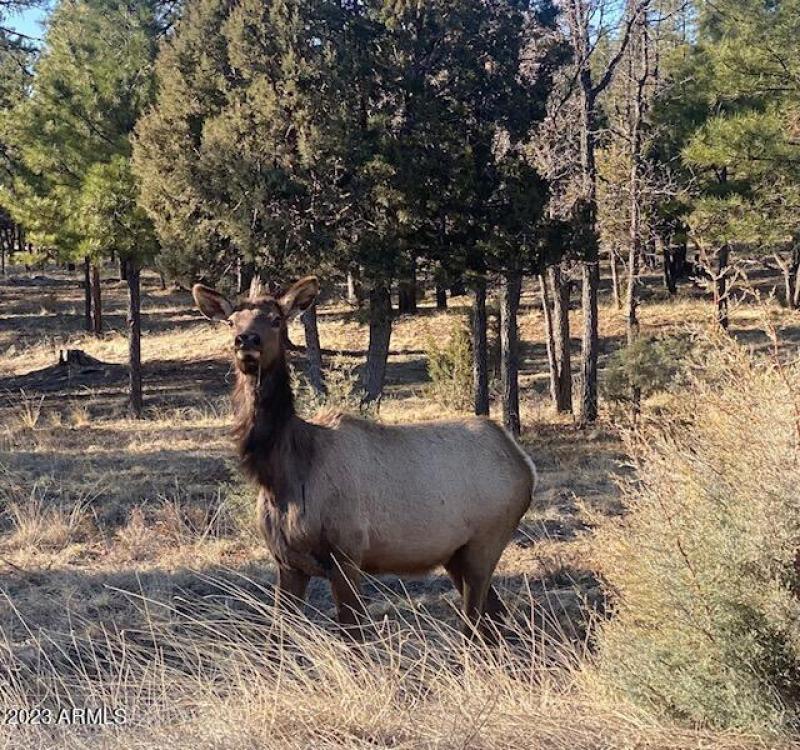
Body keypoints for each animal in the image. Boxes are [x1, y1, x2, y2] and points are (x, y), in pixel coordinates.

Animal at [192, 275, 537, 638]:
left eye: (276, 320)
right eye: (231, 321)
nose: (246, 340)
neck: (280, 476)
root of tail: (525, 464)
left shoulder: (347, 554)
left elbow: (353, 635)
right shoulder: (286, 561)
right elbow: (278, 638)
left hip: (486, 543)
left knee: (477, 624)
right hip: (456, 554)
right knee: (496, 620)